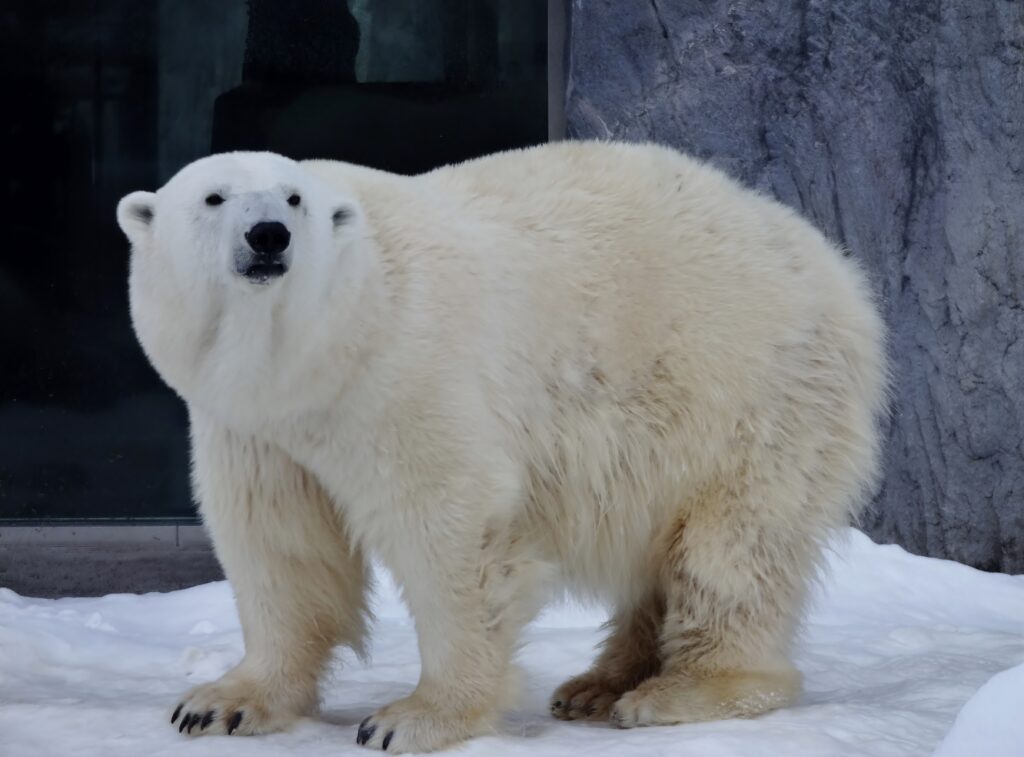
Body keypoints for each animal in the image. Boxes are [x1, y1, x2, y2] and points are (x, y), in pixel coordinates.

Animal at [116, 142, 888, 753]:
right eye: (214, 196)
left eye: (294, 199)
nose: (269, 235)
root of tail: (833, 264)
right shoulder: (255, 428)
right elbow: (280, 546)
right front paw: (217, 703)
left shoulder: (408, 372)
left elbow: (448, 526)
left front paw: (412, 718)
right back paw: (598, 684)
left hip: (748, 390)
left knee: (733, 550)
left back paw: (680, 690)